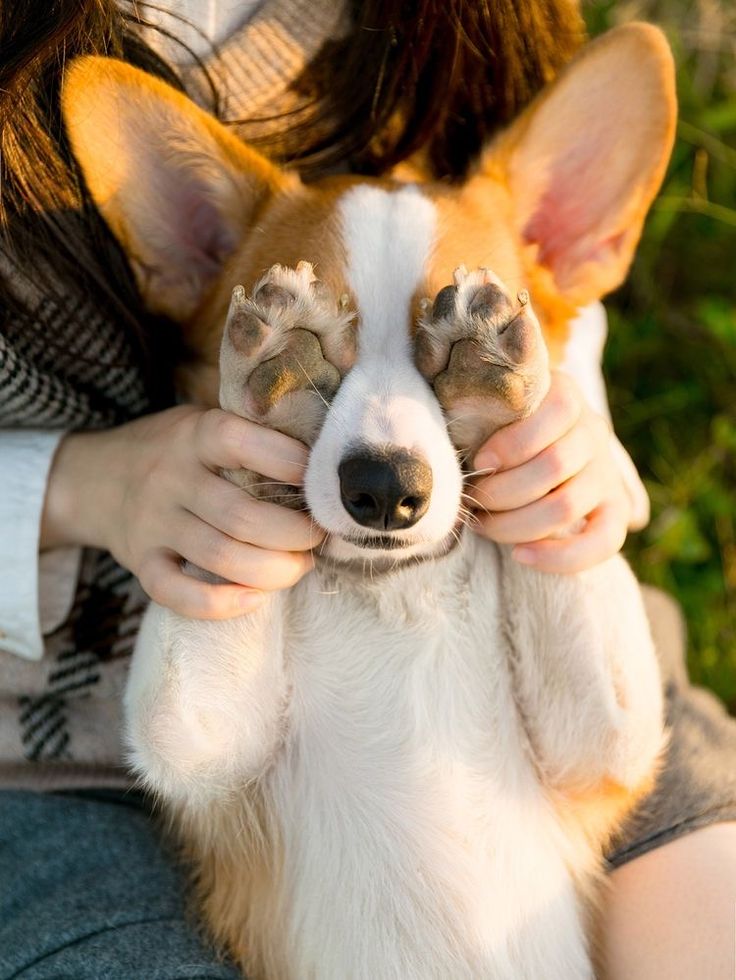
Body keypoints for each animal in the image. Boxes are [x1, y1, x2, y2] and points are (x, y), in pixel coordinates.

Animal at [64, 24, 680, 980]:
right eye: (329, 357)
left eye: (436, 342)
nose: (385, 490)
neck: (399, 599)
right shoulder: (197, 740)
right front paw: (271, 384)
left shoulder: (604, 742)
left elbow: (569, 564)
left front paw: (510, 396)